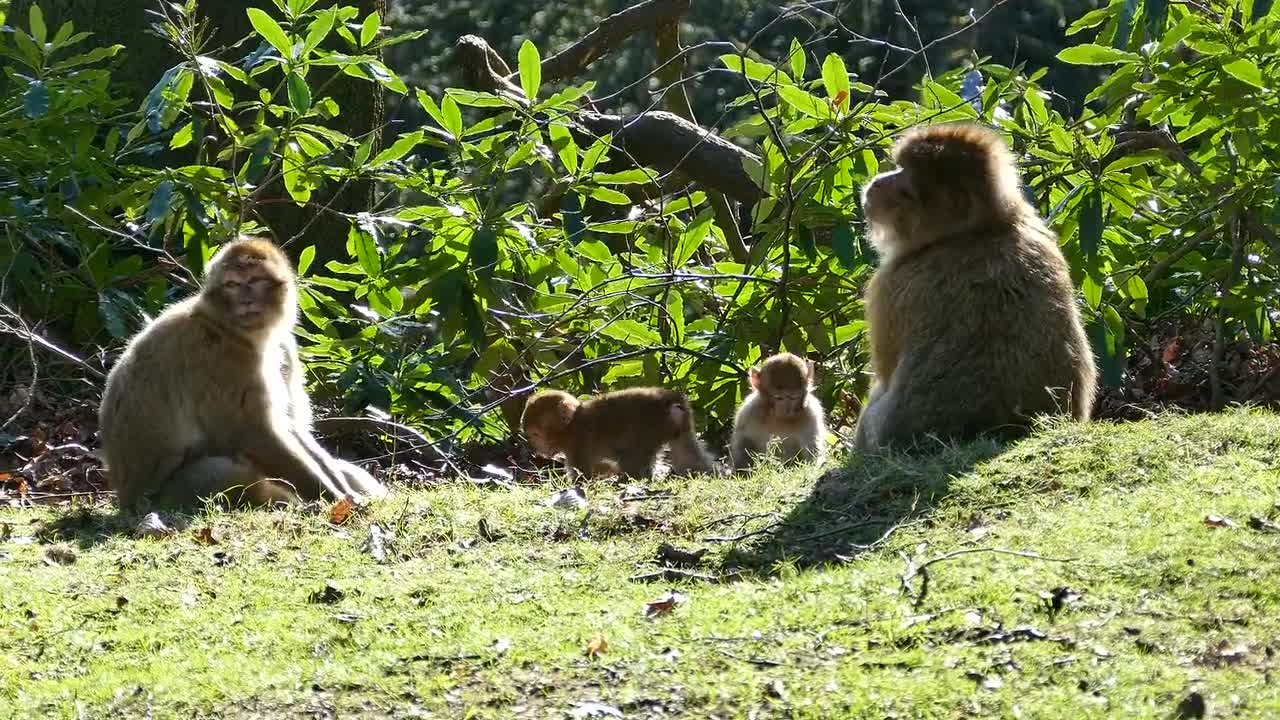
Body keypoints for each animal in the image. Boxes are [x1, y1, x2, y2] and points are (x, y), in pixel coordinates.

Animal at [98, 236, 388, 509]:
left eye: (255, 280)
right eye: (232, 285)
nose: (246, 300)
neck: (233, 330)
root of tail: (125, 498)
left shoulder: (284, 347)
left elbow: (291, 427)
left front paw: (343, 488)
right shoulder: (220, 359)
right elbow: (253, 435)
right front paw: (336, 498)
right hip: (167, 495)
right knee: (228, 473)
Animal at [520, 387, 716, 480]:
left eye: (535, 436)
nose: (535, 448)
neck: (572, 425)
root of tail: (668, 398)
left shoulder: (578, 443)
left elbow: (584, 476)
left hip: (651, 427)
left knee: (633, 458)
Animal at [852, 122, 1097, 452]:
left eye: (904, 187)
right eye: (899, 167)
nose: (879, 182)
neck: (976, 231)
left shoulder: (888, 285)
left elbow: (884, 371)